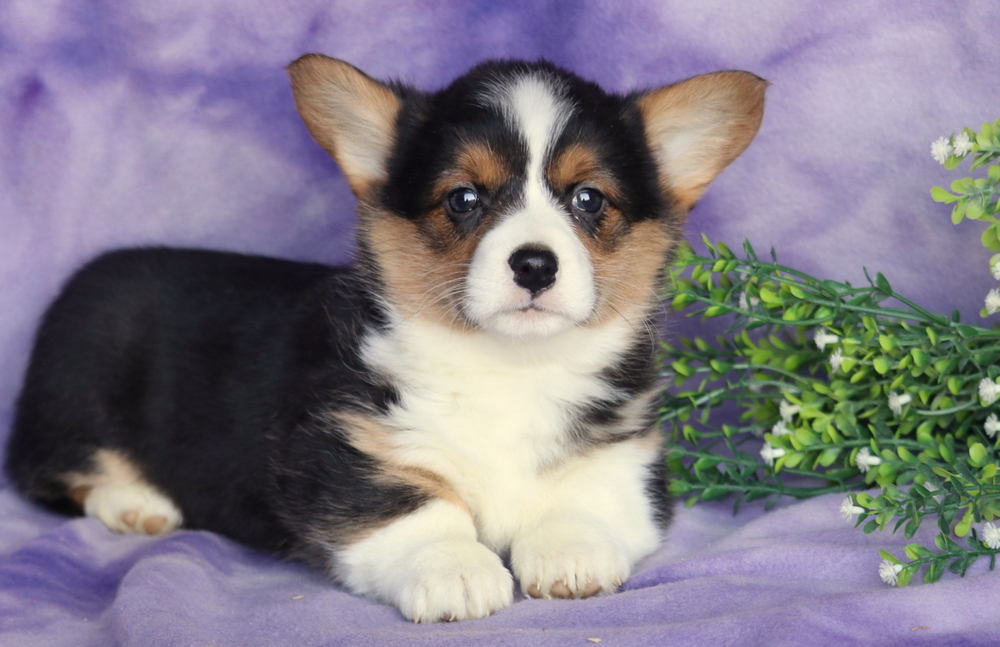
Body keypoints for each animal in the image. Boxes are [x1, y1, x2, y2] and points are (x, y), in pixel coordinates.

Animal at [5, 55, 765, 622]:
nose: (534, 264)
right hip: (76, 391)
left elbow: (581, 500)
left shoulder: (626, 453)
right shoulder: (345, 458)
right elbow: (420, 509)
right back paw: (137, 503)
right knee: (59, 469)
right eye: (463, 198)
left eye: (588, 199)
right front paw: (458, 571)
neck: (509, 368)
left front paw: (569, 555)